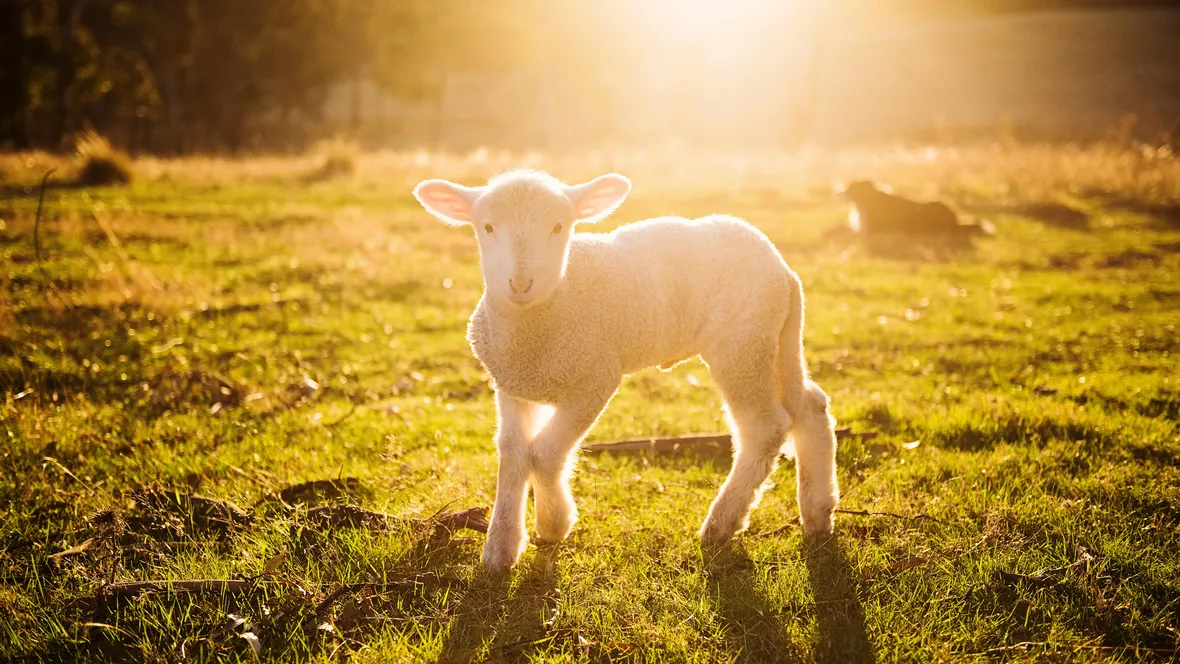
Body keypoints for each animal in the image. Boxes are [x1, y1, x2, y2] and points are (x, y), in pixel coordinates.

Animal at [412, 170, 840, 571]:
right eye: (486, 226)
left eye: (559, 226)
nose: (520, 283)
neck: (543, 317)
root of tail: (782, 267)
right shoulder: (512, 384)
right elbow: (513, 451)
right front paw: (501, 548)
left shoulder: (595, 380)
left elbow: (545, 453)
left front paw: (553, 523)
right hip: (778, 337)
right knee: (810, 406)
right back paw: (818, 513)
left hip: (741, 344)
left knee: (764, 428)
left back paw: (721, 524)